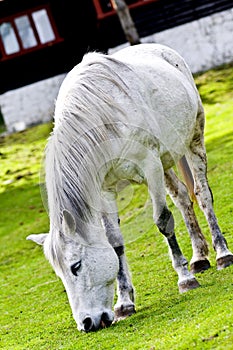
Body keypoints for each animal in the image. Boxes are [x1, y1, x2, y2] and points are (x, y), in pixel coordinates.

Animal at [27, 43, 233, 330]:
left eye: (76, 266)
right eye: (61, 274)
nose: (87, 323)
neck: (103, 118)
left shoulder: (150, 166)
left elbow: (163, 221)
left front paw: (185, 279)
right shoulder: (105, 189)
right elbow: (115, 243)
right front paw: (124, 304)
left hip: (192, 140)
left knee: (202, 196)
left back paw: (222, 254)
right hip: (166, 161)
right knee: (182, 198)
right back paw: (199, 259)